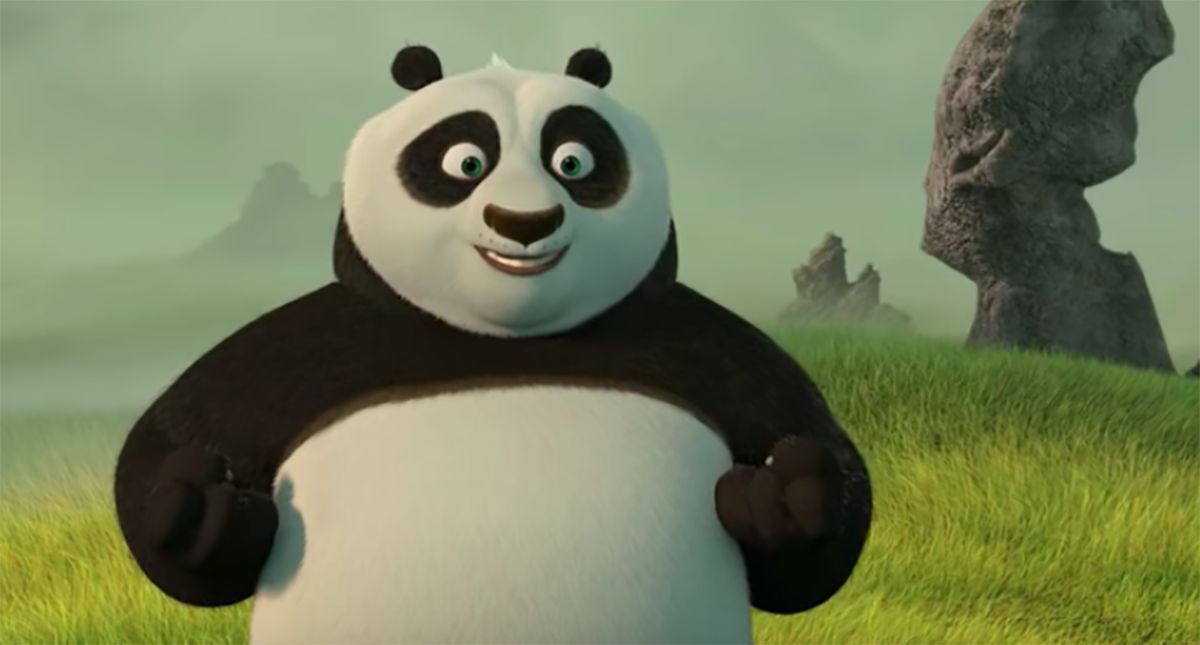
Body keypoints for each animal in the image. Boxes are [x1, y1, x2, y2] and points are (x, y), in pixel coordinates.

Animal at [114, 46, 872, 644]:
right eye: (465, 161)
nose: (524, 221)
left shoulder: (700, 344)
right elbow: (168, 440)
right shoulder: (312, 349)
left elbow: (814, 488)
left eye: (574, 160)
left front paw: (784, 493)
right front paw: (201, 508)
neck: (509, 337)